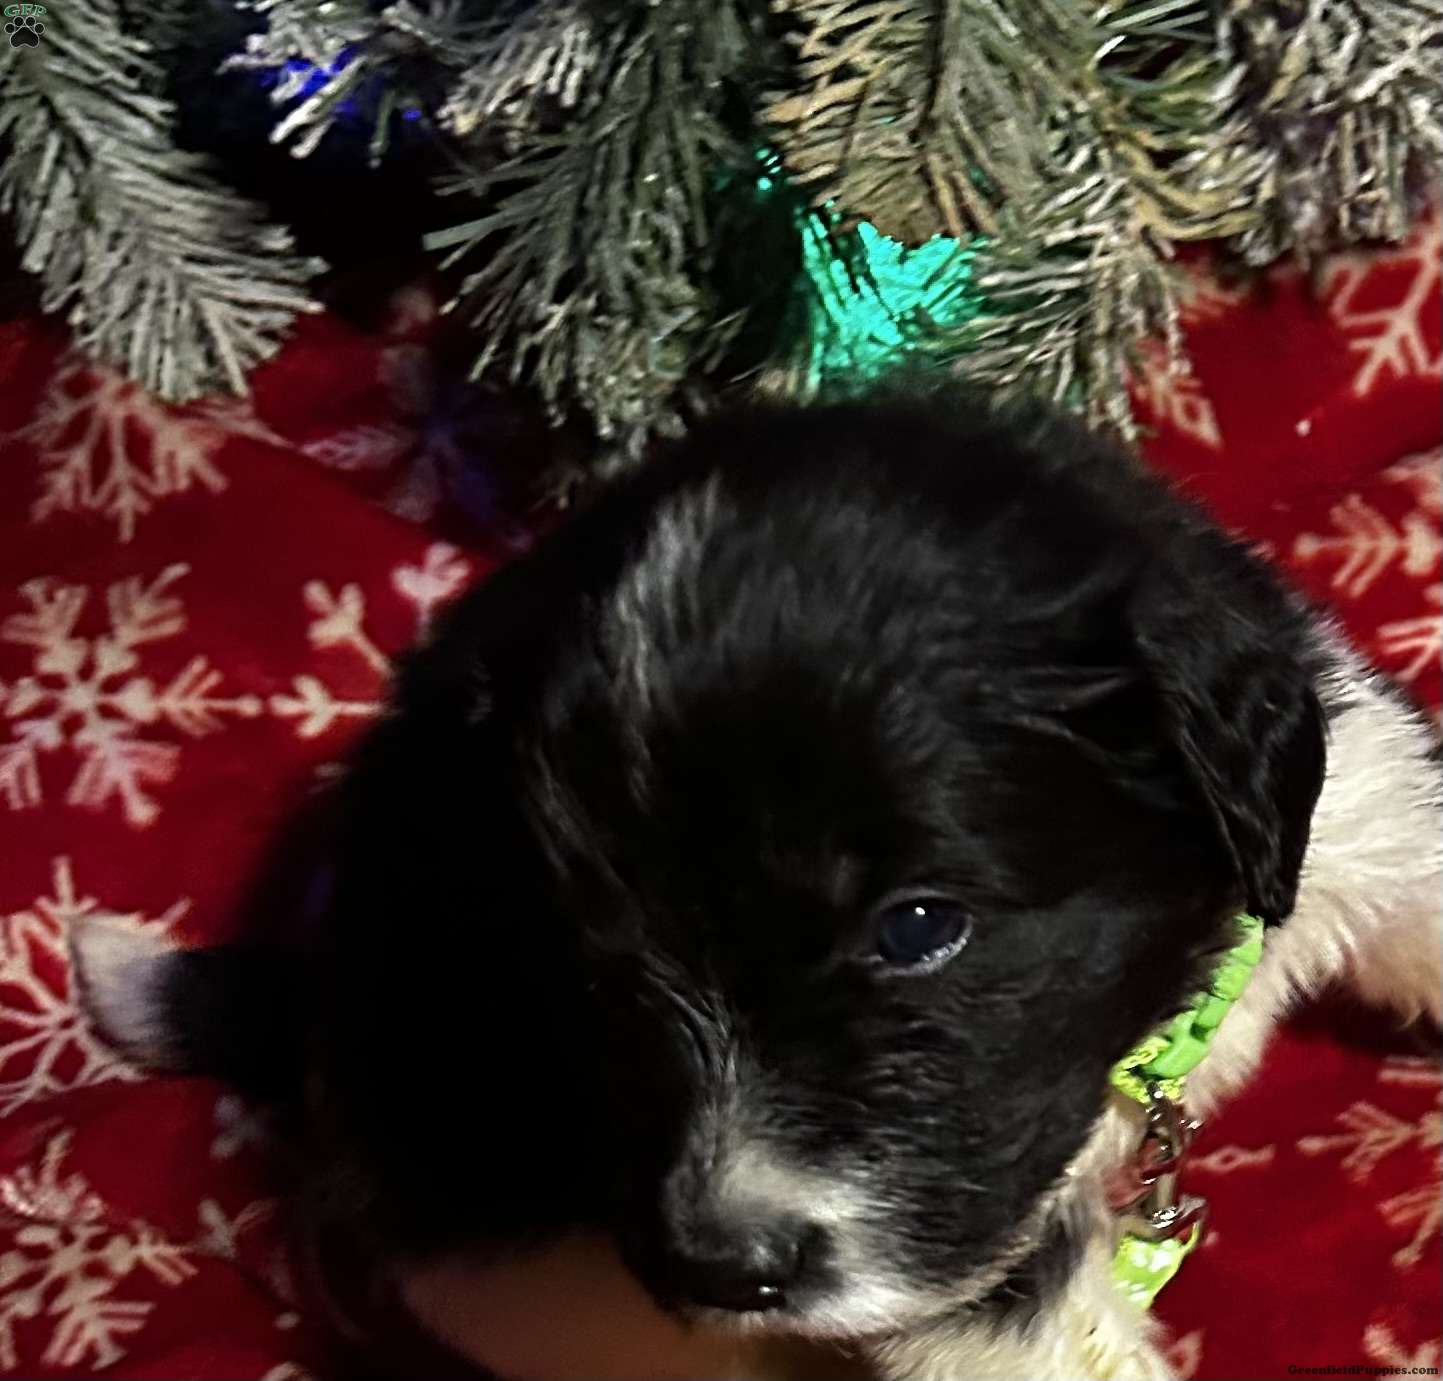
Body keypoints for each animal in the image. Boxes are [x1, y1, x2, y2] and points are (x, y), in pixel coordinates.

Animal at [74, 391, 1442, 1379]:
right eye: (585, 965)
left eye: (919, 927)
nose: (726, 1270)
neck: (1145, 1028)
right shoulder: (964, 1242)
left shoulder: (1353, 802)